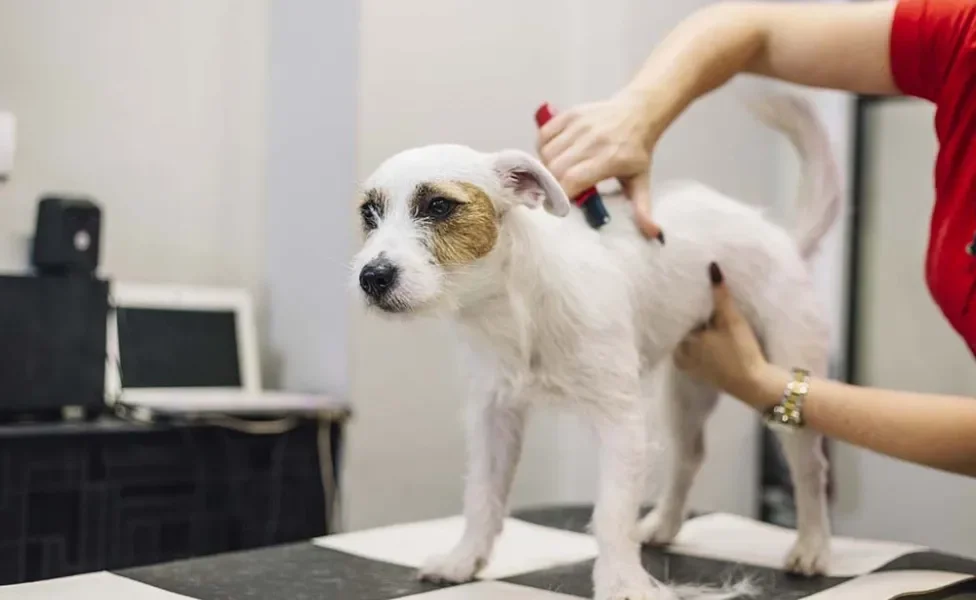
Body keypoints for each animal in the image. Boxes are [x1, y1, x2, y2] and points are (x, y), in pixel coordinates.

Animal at [350, 96, 840, 596]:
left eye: (439, 205)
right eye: (369, 214)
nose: (372, 277)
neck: (513, 305)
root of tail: (782, 239)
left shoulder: (620, 421)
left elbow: (612, 512)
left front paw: (621, 580)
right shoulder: (494, 414)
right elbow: (483, 494)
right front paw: (464, 559)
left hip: (784, 373)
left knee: (811, 469)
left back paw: (812, 546)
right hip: (690, 386)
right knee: (689, 455)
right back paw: (663, 525)